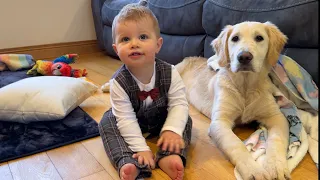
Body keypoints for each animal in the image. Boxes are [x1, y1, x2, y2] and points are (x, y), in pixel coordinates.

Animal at [176, 21, 292, 180]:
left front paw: (276, 166)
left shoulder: (276, 116)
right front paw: (253, 170)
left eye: (259, 38)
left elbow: (277, 139)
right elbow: (236, 144)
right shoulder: (219, 122)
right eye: (235, 38)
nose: (244, 57)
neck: (245, 86)